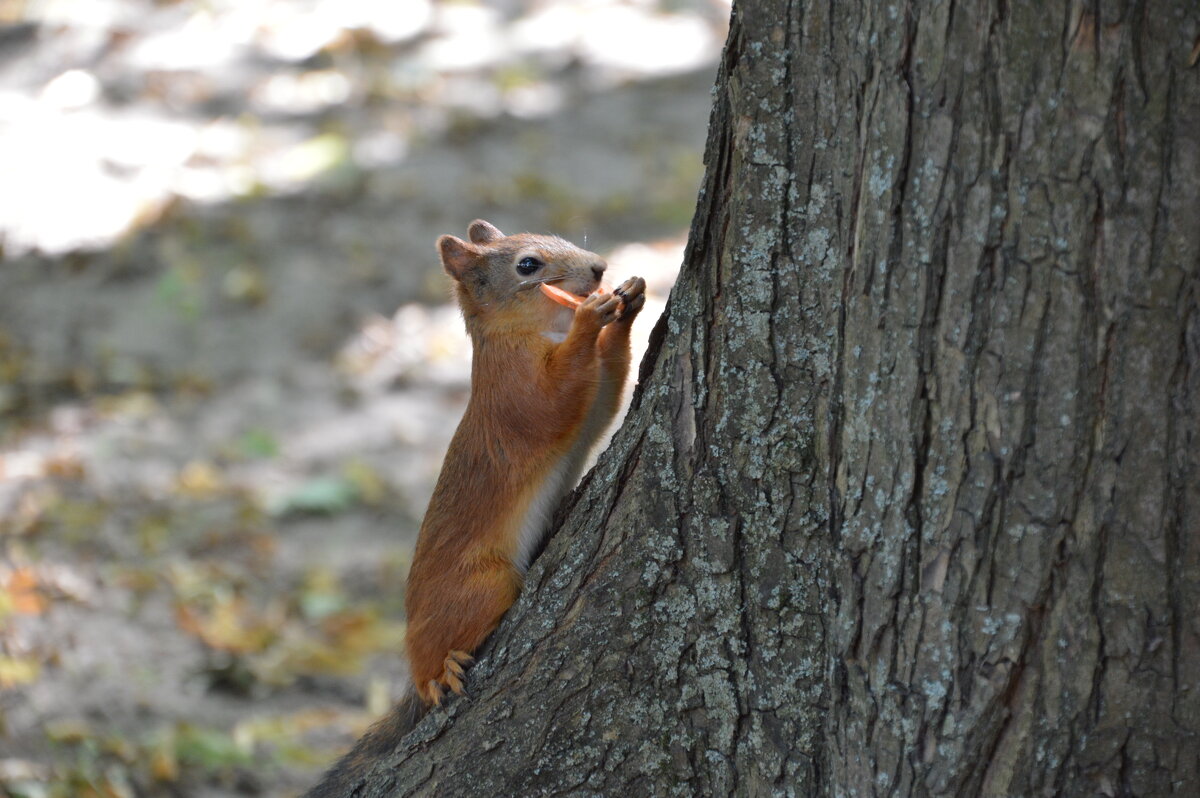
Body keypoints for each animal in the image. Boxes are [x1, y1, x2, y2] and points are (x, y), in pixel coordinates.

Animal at [309, 219, 648, 796]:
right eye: (527, 266)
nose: (601, 267)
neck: (538, 331)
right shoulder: (515, 394)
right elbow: (556, 400)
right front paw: (592, 318)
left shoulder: (595, 393)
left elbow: (605, 392)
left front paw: (628, 303)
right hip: (484, 586)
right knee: (432, 657)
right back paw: (438, 674)